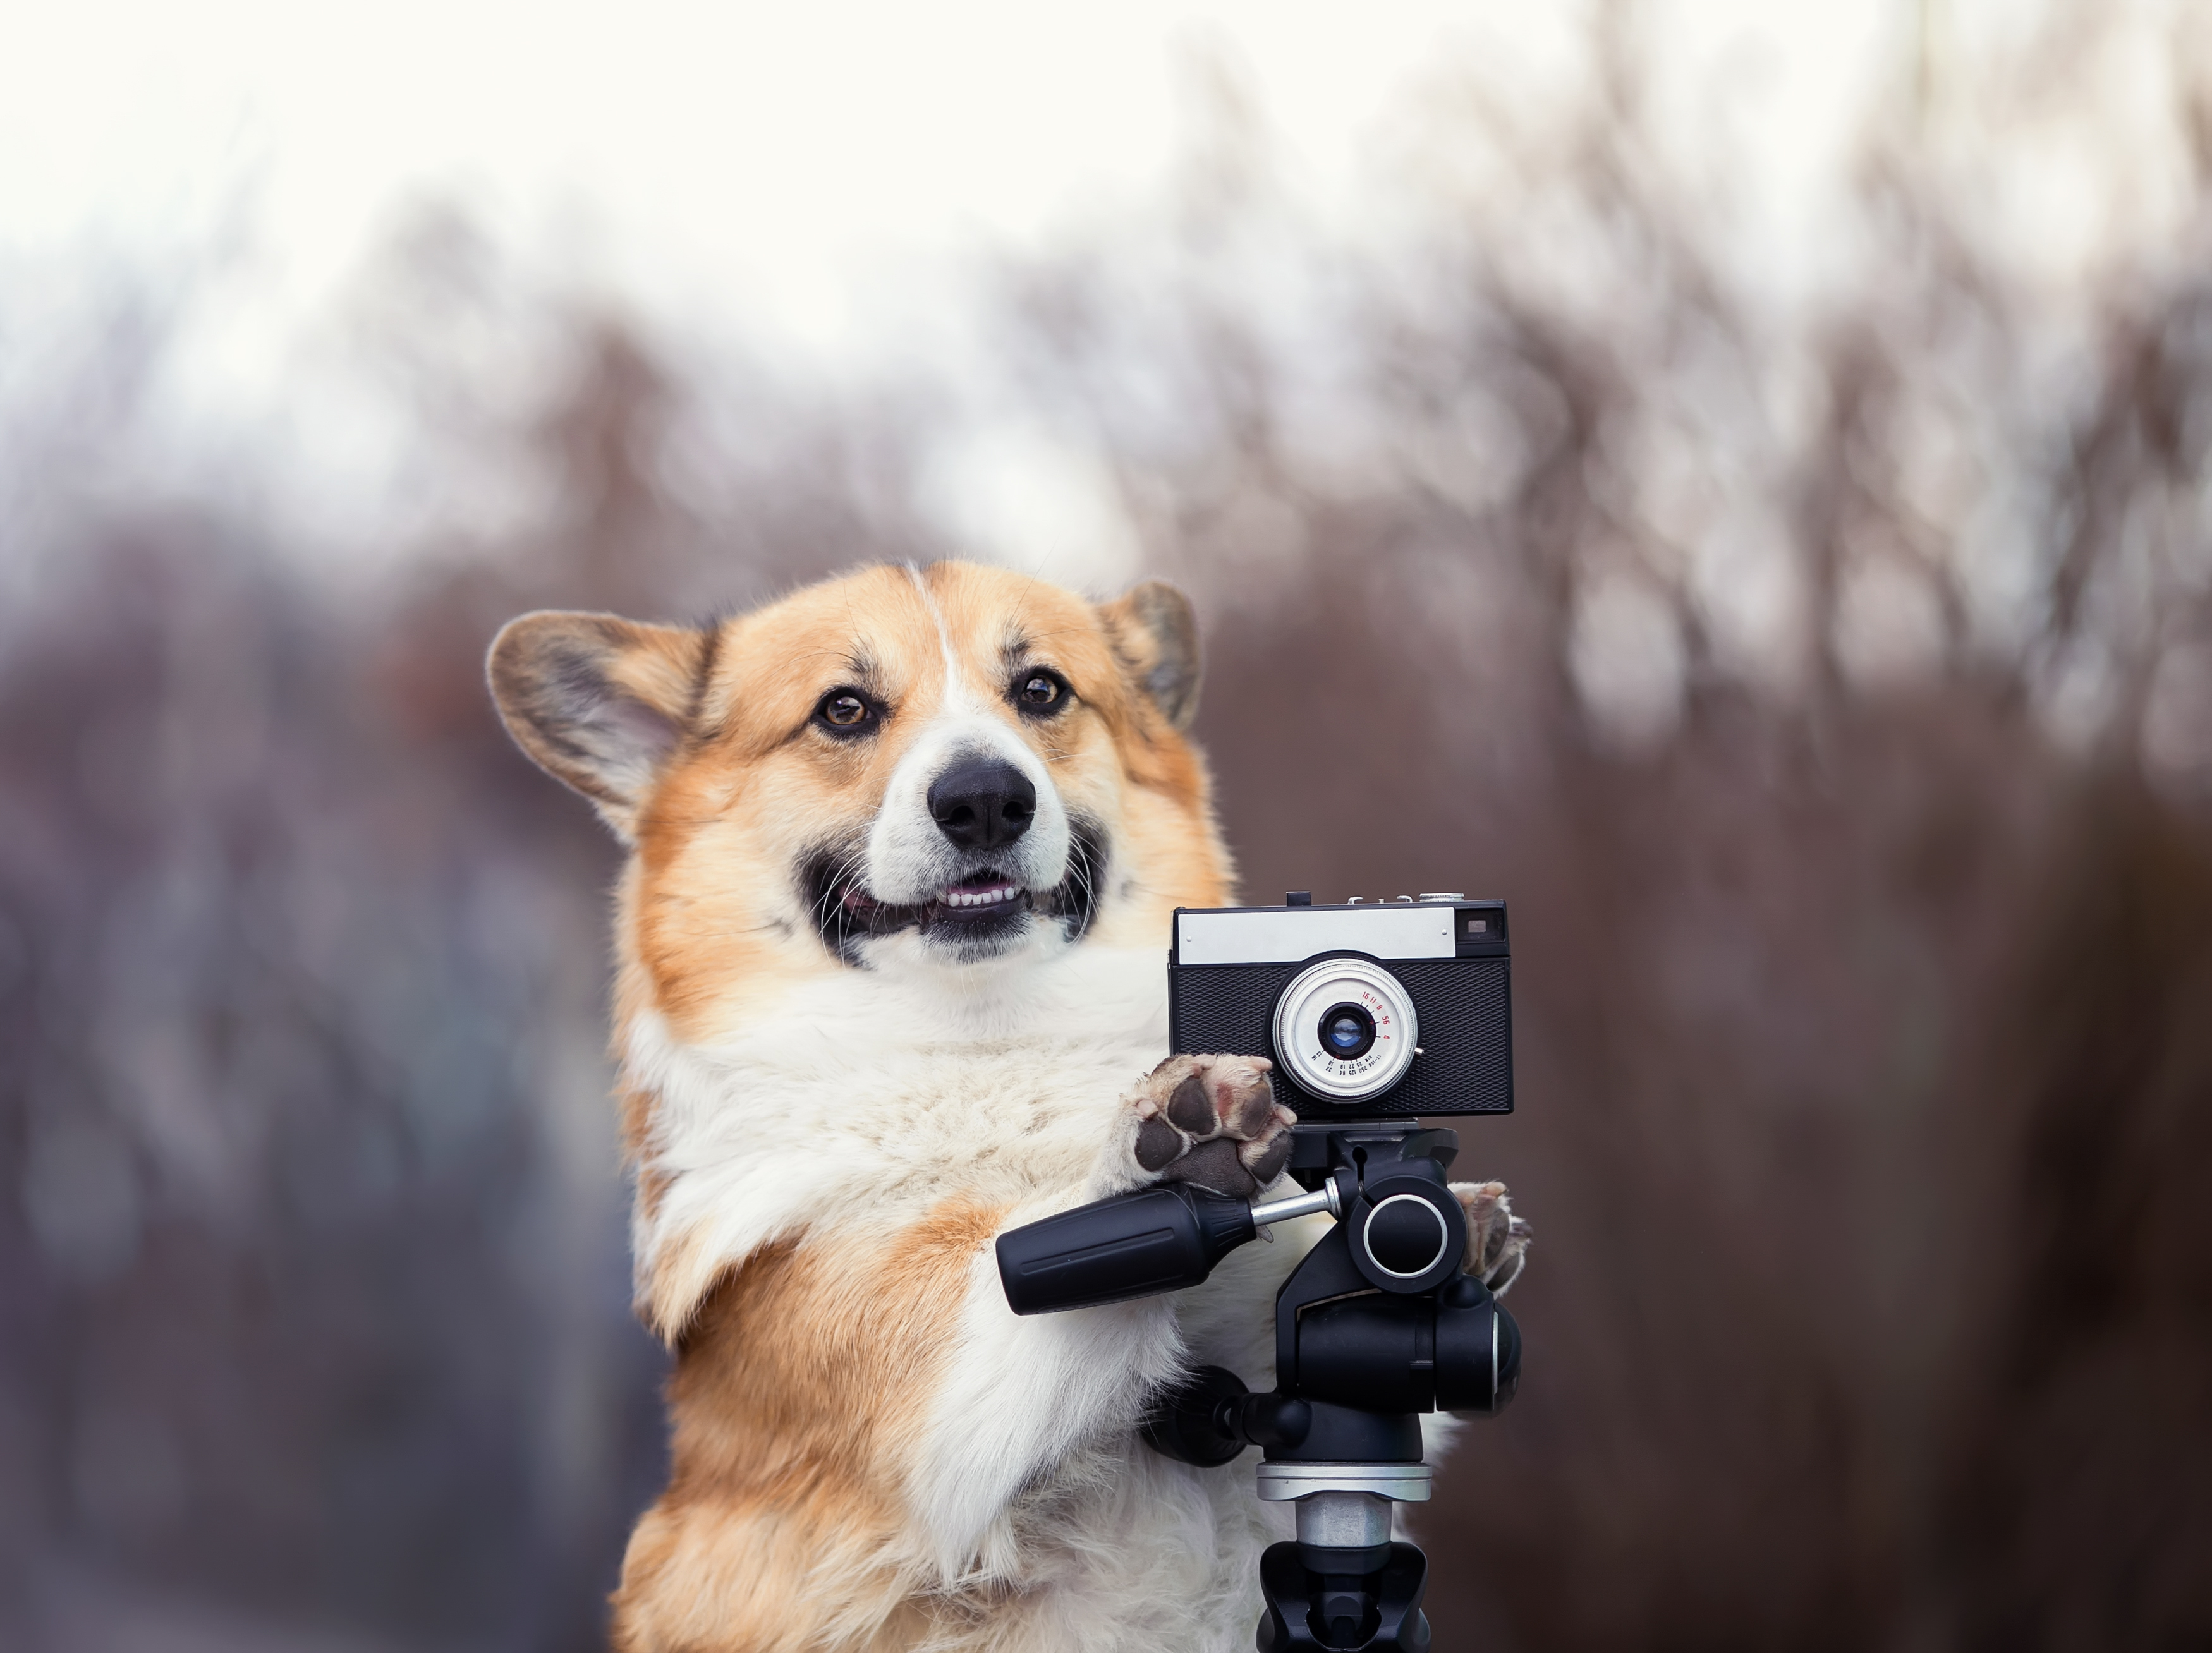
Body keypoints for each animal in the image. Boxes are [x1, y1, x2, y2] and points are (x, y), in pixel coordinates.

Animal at [489, 562, 1522, 1646]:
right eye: (844, 710)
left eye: (1041, 691)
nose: (985, 799)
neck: (985, 1043)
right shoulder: (928, 1388)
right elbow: (1031, 1265)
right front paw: (1172, 1148)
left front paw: (1445, 1231)